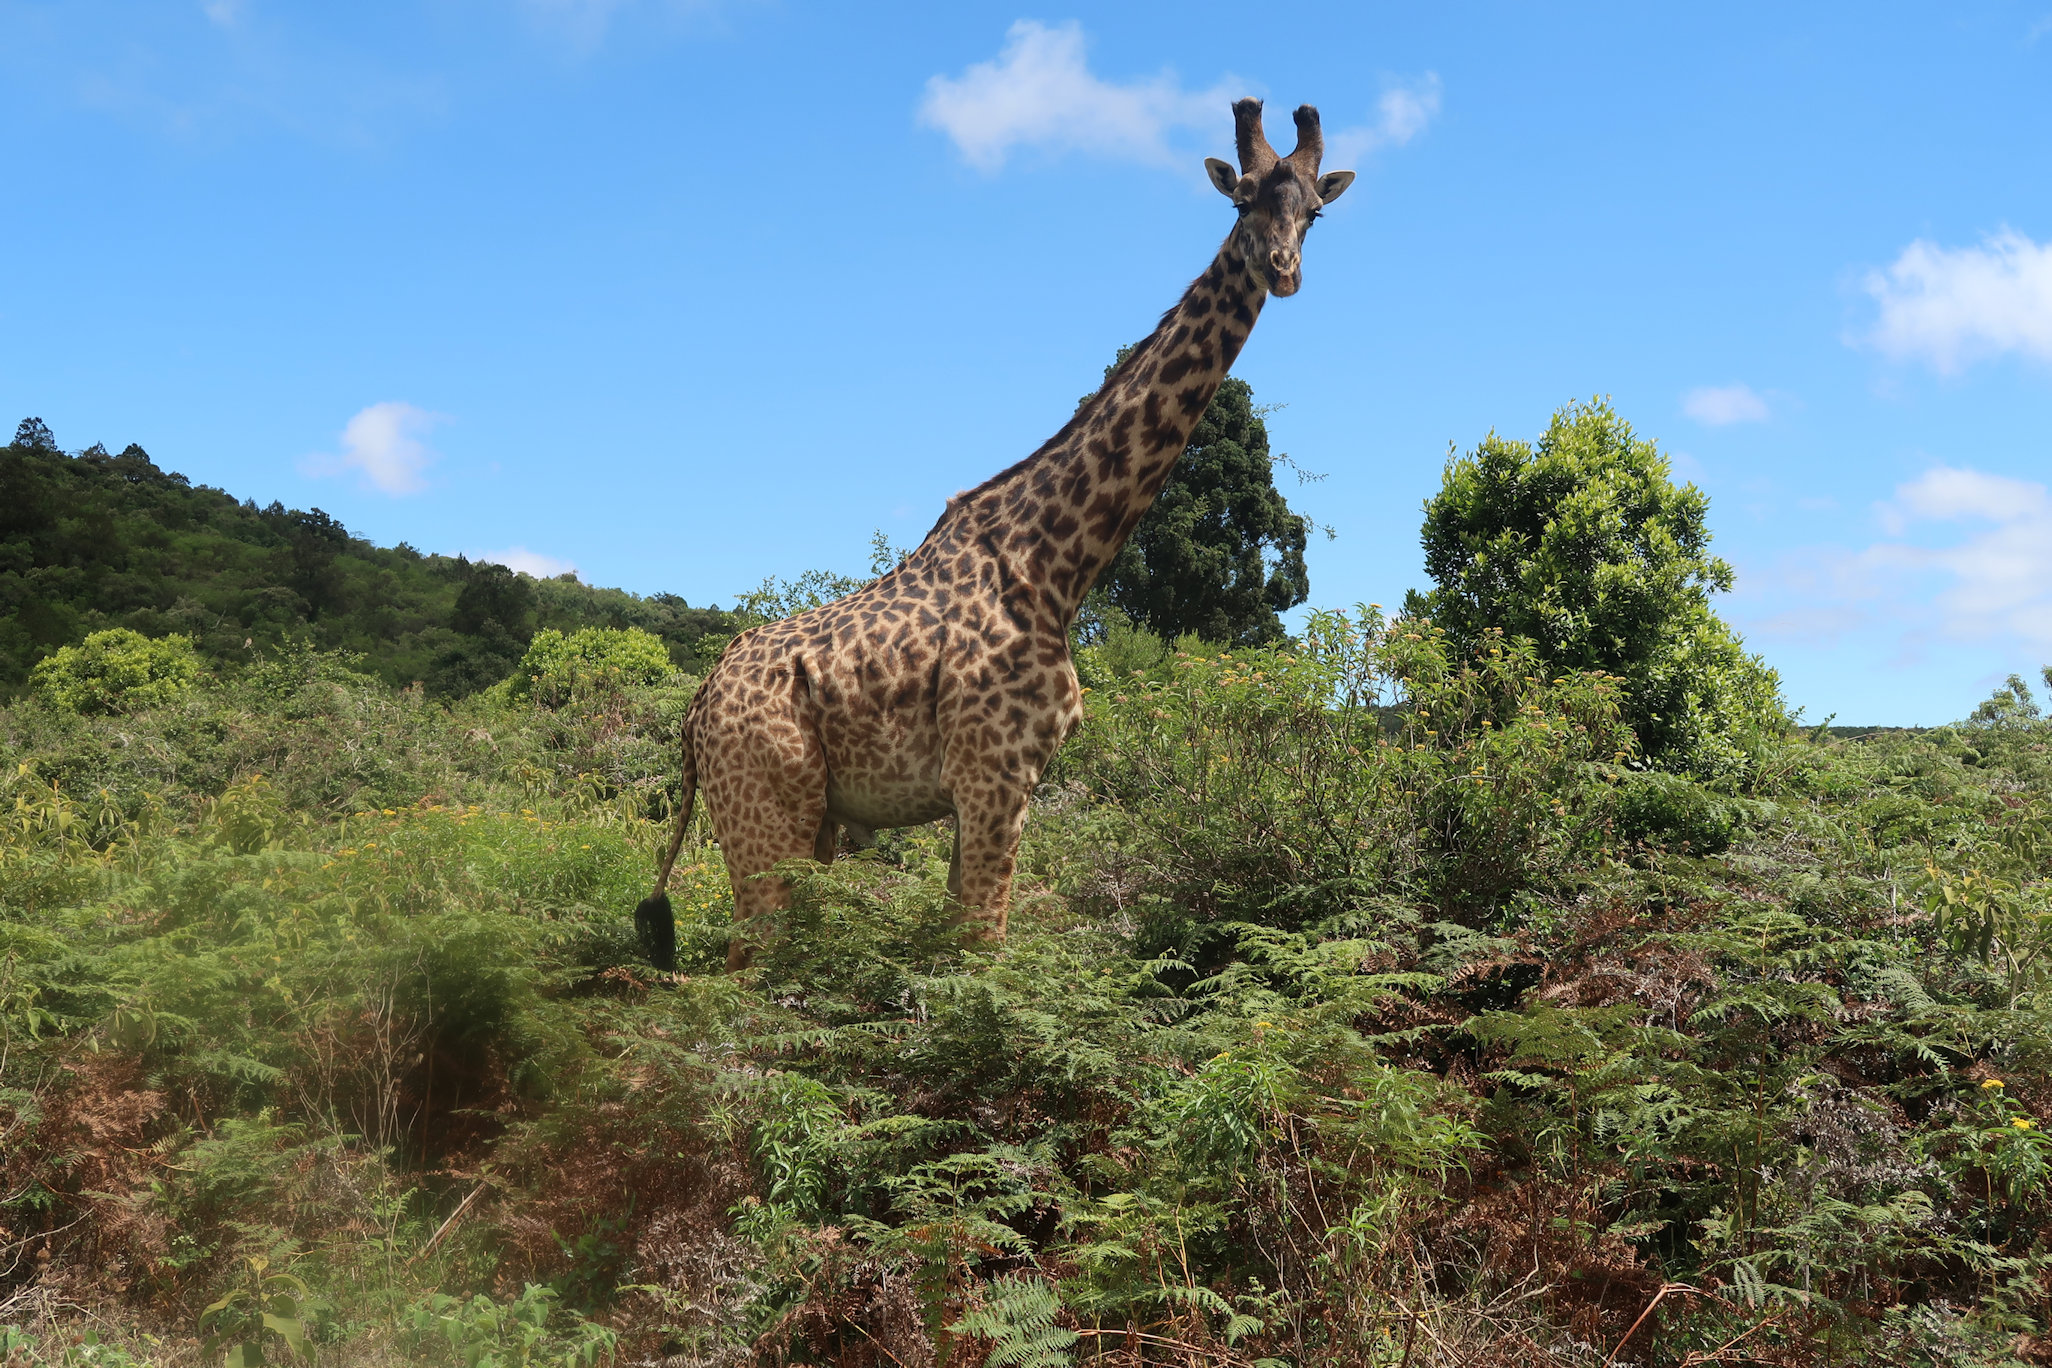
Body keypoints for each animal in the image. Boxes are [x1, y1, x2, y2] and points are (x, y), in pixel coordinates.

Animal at [636, 99, 1356, 972]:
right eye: (1242, 199)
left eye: (1314, 212)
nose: (1283, 270)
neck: (1056, 563)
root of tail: (695, 710)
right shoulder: (995, 776)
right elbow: (986, 947)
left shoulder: (990, 785)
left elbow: (963, 945)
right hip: (767, 808)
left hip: (806, 824)